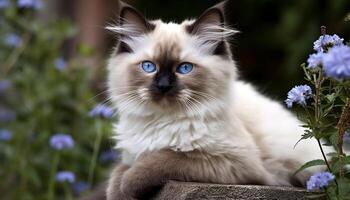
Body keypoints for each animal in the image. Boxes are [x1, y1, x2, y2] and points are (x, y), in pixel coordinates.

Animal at [105, 1, 330, 200]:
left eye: (184, 68)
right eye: (148, 67)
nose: (163, 86)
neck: (162, 121)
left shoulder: (231, 162)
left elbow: (161, 159)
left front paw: (129, 184)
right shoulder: (130, 156)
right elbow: (116, 177)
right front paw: (121, 191)